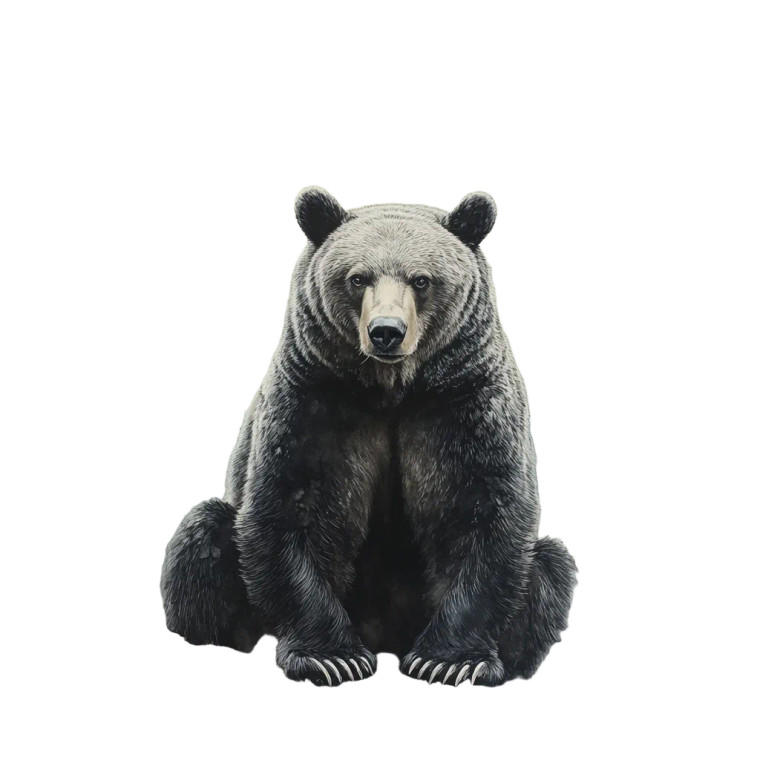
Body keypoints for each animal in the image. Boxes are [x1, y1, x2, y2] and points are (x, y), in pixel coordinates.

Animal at [161, 188, 577, 687]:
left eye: (422, 279)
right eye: (357, 278)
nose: (386, 331)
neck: (392, 388)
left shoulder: (466, 401)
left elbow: (486, 511)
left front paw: (451, 661)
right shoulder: (315, 398)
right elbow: (289, 507)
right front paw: (331, 657)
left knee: (551, 565)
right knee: (201, 536)